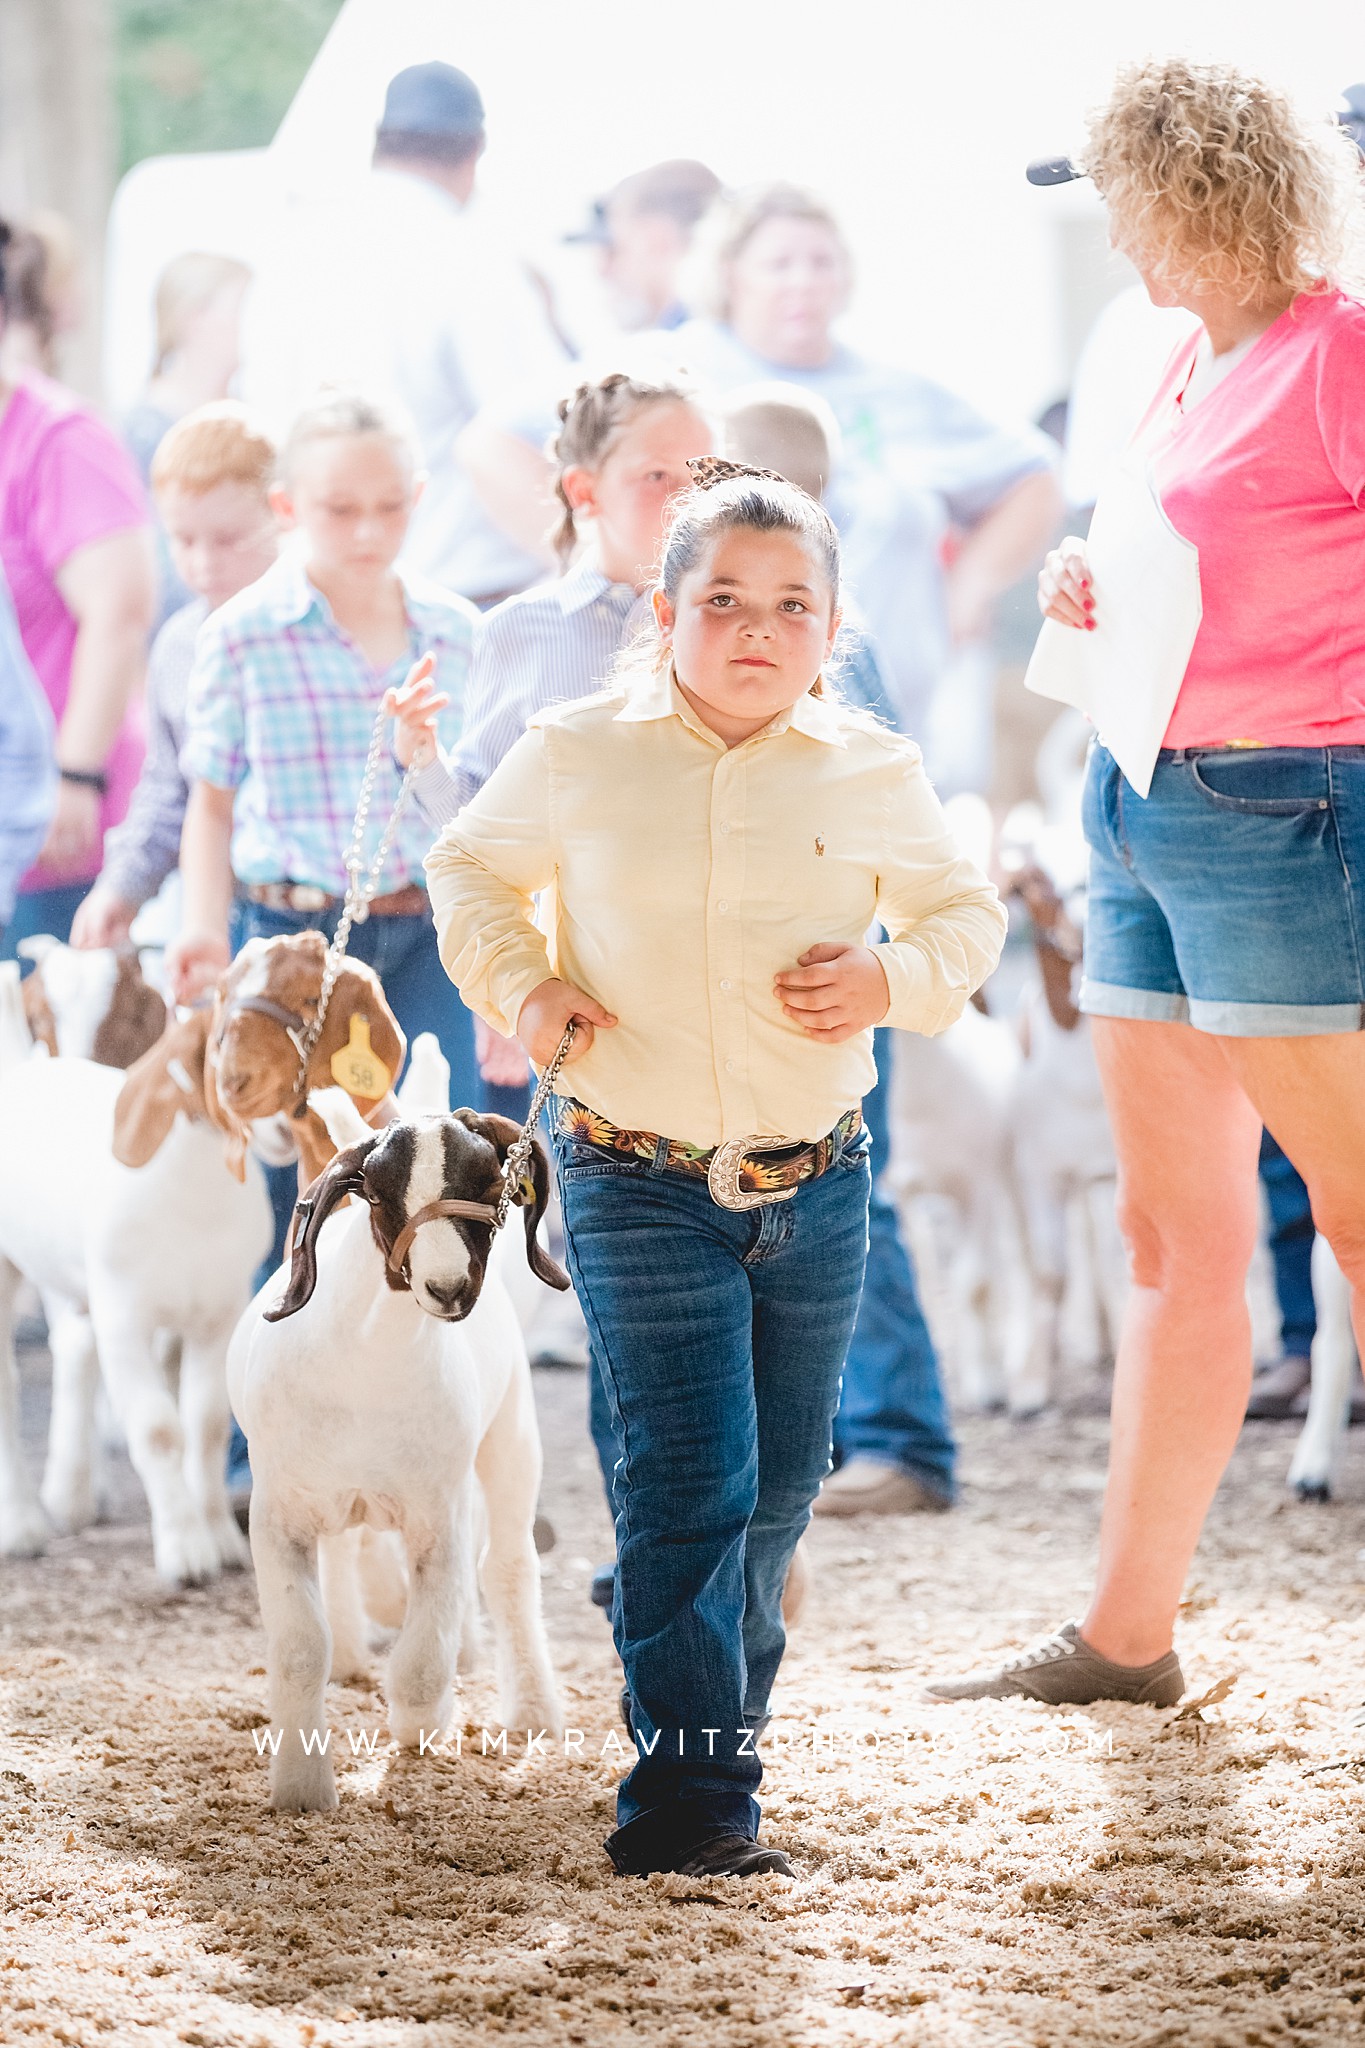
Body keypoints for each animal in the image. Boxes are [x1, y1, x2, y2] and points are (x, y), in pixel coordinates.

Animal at [229, 1089, 564, 1810]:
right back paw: (354, 1657)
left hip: (511, 1439)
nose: (447, 1288)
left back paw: (533, 1712)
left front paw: (421, 1724)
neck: (366, 1368)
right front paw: (301, 1788)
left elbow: (423, 1655)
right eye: (378, 1193)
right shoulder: (278, 1515)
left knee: (506, 1567)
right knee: (344, 1558)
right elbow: (301, 1647)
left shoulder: (438, 1515)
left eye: (490, 1185)